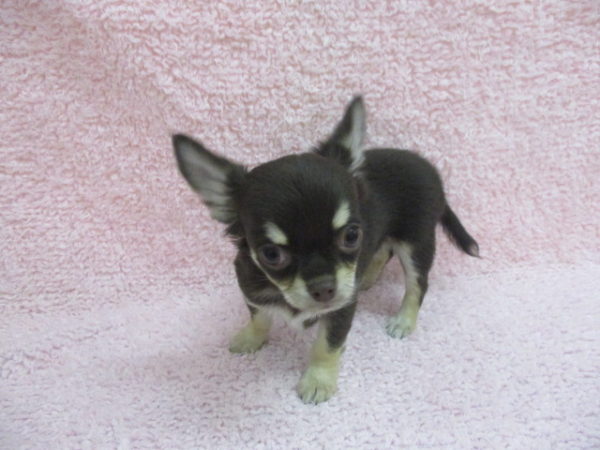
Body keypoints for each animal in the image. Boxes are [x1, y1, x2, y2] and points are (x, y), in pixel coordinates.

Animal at [172, 96, 479, 404]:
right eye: (271, 254)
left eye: (351, 236)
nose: (324, 289)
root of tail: (431, 170)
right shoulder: (251, 288)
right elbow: (259, 316)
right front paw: (250, 338)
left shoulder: (341, 310)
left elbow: (326, 345)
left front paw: (318, 380)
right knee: (383, 252)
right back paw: (366, 279)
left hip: (417, 243)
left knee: (417, 284)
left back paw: (403, 321)